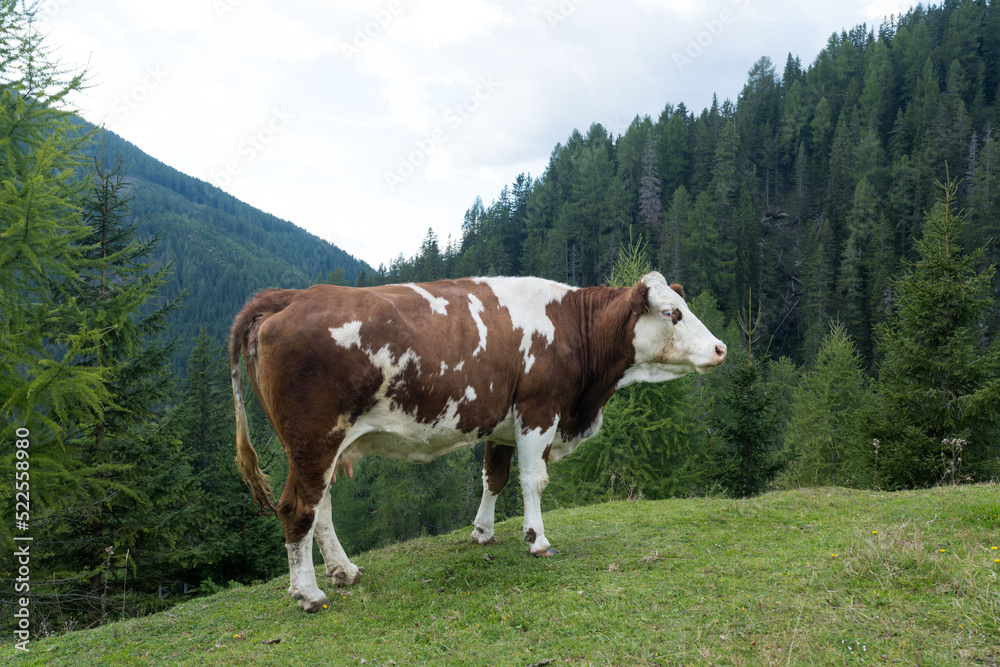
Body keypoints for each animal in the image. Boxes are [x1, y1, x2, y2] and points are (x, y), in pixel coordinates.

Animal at [229, 272, 728, 612]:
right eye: (672, 313)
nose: (721, 348)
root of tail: (291, 295)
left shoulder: (502, 421)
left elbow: (494, 478)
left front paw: (483, 531)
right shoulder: (538, 410)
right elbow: (532, 480)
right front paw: (537, 540)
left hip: (318, 447)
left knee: (321, 508)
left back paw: (343, 571)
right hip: (315, 439)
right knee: (298, 507)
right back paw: (309, 592)